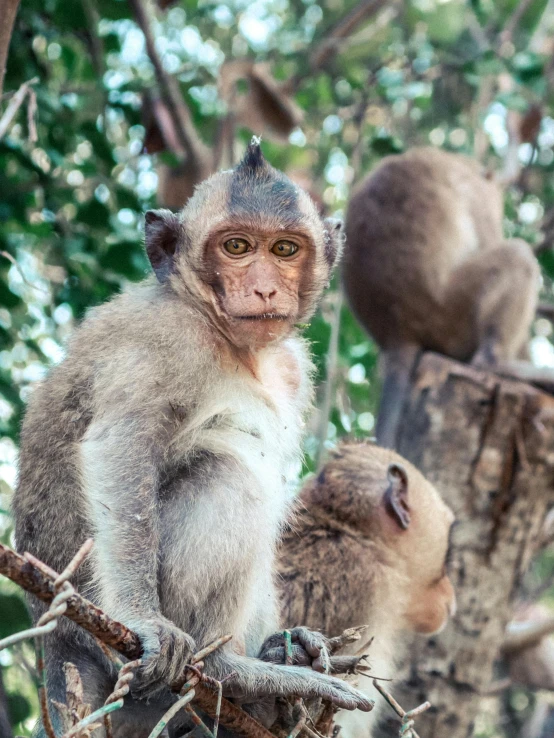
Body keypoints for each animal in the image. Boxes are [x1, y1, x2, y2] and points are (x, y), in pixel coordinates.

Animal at [10, 139, 370, 736]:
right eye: (237, 246)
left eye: (285, 248)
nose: (265, 286)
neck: (230, 341)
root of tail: (60, 646)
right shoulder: (169, 341)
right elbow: (121, 446)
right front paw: (145, 621)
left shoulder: (292, 369)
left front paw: (292, 642)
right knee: (228, 473)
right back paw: (232, 669)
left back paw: (271, 667)